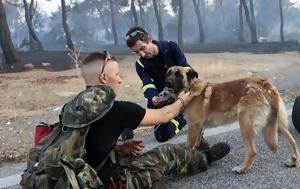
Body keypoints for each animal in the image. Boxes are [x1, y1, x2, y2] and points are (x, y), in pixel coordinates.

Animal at [164, 66, 300, 174]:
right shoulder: (199, 126)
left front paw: (190, 162)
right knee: (292, 141)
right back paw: (294, 161)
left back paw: (242, 169)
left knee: (252, 151)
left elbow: (189, 148)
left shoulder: (194, 125)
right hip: (277, 124)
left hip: (245, 123)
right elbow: (196, 145)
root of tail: (263, 82)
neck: (190, 87)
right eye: (168, 73)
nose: (167, 82)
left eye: (178, 74)